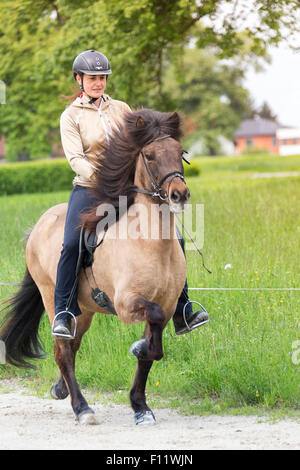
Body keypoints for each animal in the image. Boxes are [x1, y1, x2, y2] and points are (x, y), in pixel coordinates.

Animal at [0, 109, 191, 426]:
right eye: (149, 155)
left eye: (180, 152)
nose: (180, 194)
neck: (150, 243)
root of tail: (39, 224)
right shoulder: (127, 304)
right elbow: (150, 340)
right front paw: (138, 350)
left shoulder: (167, 305)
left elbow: (150, 354)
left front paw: (140, 407)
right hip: (53, 299)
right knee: (63, 349)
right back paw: (82, 408)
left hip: (83, 310)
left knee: (72, 345)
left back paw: (60, 389)